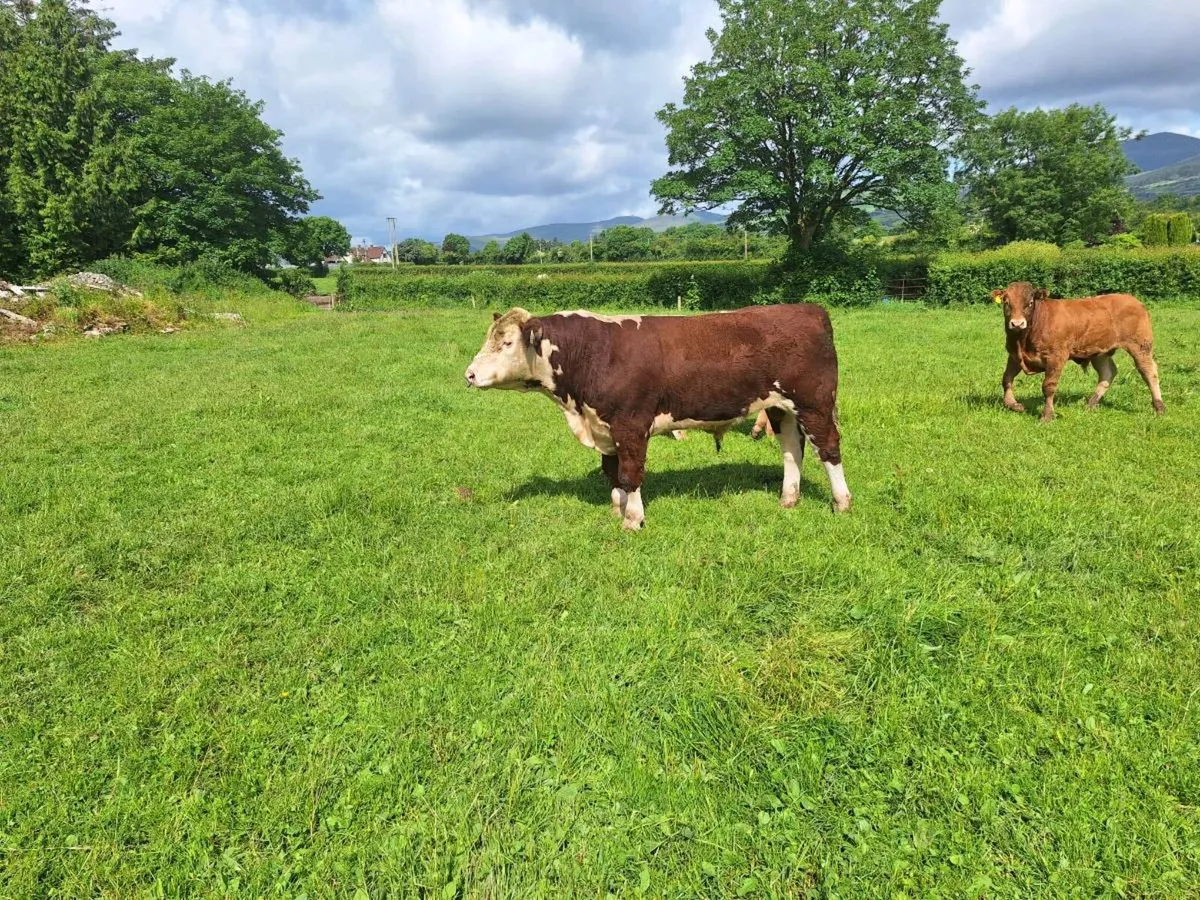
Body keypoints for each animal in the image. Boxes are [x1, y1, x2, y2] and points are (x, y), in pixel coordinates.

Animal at [465, 306, 852, 530]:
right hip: (781, 407)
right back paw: (788, 499)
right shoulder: (605, 427)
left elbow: (630, 473)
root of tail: (806, 308)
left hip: (814, 403)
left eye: (507, 343)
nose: (468, 375)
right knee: (791, 449)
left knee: (828, 449)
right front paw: (617, 510)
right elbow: (612, 473)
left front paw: (633, 520)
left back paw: (841, 502)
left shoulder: (631, 425)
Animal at [992, 282, 1165, 422]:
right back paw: (1091, 404)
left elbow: (1048, 386)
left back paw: (1159, 408)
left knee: (1149, 372)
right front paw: (1013, 404)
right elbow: (1006, 379)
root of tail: (1131, 299)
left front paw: (1047, 416)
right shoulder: (1014, 355)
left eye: (1029, 303)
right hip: (1100, 351)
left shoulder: (1057, 356)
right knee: (1107, 373)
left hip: (1141, 346)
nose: (1017, 323)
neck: (1023, 340)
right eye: (1006, 303)